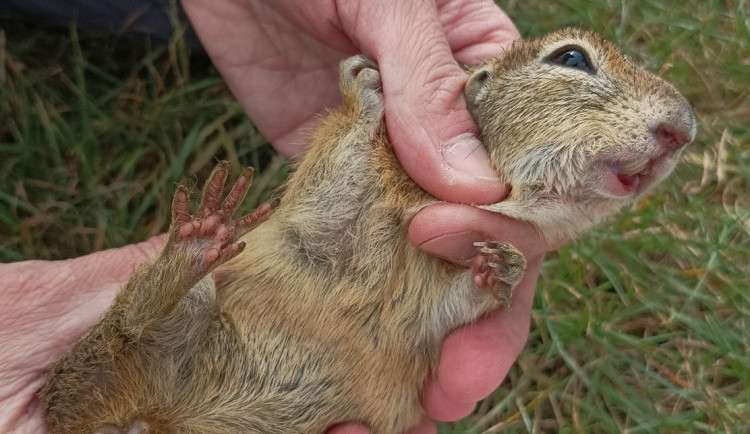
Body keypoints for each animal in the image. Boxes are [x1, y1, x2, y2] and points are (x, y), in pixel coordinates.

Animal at [42, 28, 700, 434]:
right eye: (571, 59)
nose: (686, 129)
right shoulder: (327, 212)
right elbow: (333, 188)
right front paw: (367, 89)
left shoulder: (427, 313)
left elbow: (450, 307)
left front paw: (499, 271)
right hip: (135, 350)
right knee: (135, 326)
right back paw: (193, 244)